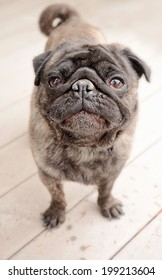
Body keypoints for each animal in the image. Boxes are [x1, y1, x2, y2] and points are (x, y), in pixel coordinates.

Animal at [28, 3, 150, 228]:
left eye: (116, 82)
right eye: (55, 81)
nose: (83, 87)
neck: (85, 145)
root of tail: (73, 19)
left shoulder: (112, 173)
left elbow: (105, 190)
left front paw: (108, 205)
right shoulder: (47, 174)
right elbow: (57, 195)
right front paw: (55, 212)